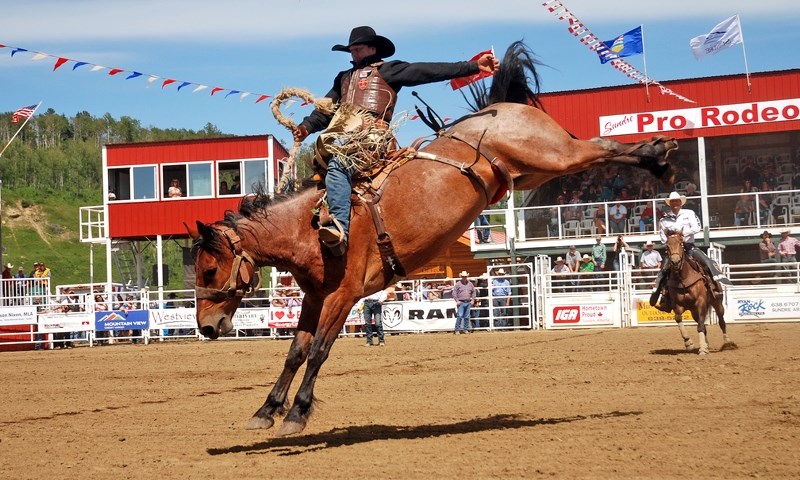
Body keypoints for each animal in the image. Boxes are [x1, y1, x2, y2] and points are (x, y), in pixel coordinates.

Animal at [191, 43, 680, 436]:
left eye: (210, 268)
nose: (206, 327)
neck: (307, 228)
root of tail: (501, 108)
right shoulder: (314, 297)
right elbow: (295, 352)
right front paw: (266, 410)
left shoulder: (343, 295)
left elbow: (318, 353)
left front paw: (296, 414)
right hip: (534, 171)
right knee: (593, 152)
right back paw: (656, 157)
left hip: (553, 154)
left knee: (600, 146)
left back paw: (658, 156)